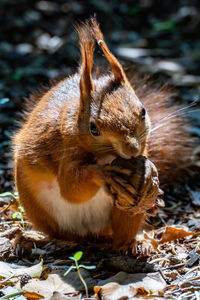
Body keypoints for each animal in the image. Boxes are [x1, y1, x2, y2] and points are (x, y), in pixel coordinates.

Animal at [12, 18, 194, 253]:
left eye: (143, 111)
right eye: (93, 128)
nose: (131, 150)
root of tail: (92, 233)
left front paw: (148, 175)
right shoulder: (64, 149)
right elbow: (71, 187)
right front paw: (103, 173)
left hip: (123, 214)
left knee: (122, 233)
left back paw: (135, 243)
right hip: (40, 210)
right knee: (62, 233)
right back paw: (42, 240)